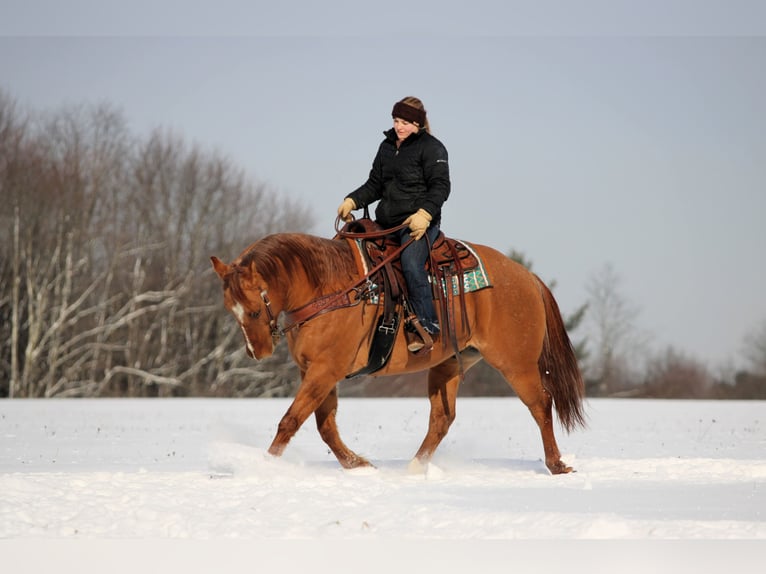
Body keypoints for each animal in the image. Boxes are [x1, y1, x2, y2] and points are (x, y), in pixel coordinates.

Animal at [210, 225, 586, 474]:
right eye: (230, 309)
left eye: (254, 310)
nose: (257, 351)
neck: (328, 287)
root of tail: (527, 277)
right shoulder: (316, 371)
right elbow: (324, 424)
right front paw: (357, 464)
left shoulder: (325, 370)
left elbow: (291, 420)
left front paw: (266, 464)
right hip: (451, 362)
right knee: (442, 418)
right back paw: (414, 468)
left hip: (515, 363)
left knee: (541, 404)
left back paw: (557, 464)